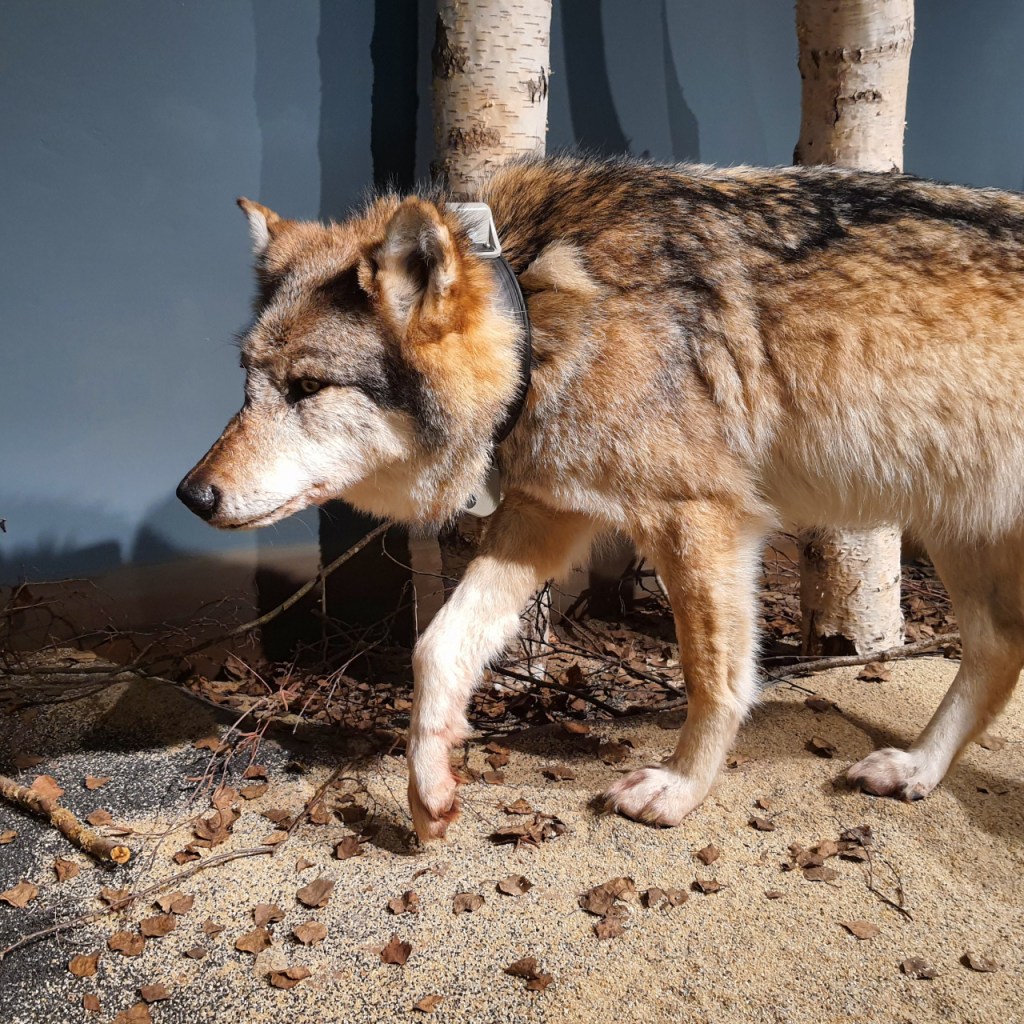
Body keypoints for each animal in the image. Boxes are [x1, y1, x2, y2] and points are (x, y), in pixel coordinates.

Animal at [178, 155, 1024, 842]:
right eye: (248, 382)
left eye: (307, 388)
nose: (191, 494)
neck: (542, 306)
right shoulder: (551, 513)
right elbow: (437, 648)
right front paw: (430, 791)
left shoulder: (699, 520)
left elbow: (716, 679)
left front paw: (681, 790)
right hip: (958, 534)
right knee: (996, 650)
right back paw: (916, 770)